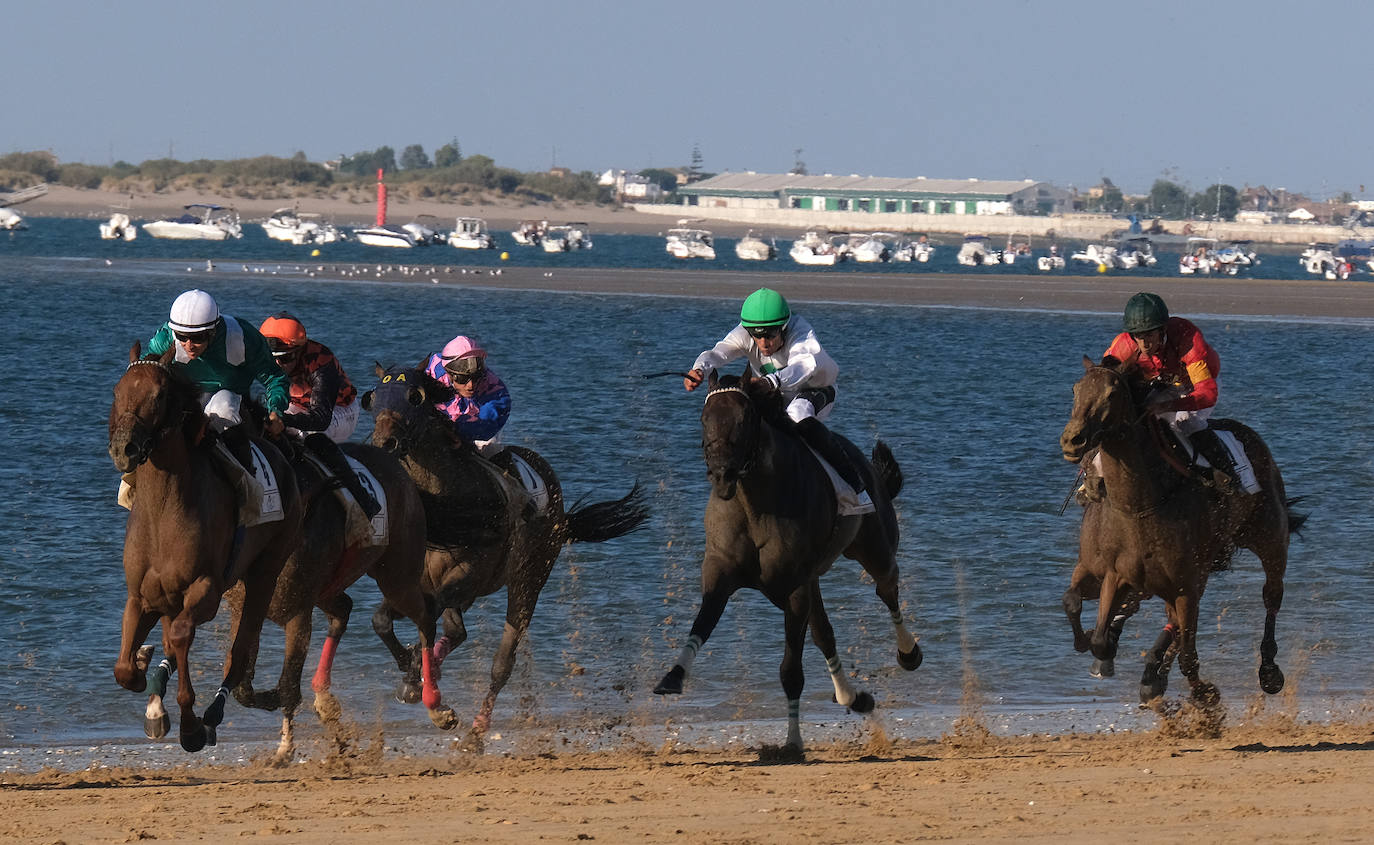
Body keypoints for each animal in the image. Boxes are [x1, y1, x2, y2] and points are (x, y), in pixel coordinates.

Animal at [105, 343, 305, 752]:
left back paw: (212, 714)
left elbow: (182, 637)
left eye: (158, 395)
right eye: (117, 392)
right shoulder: (142, 595)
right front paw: (142, 663)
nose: (123, 449)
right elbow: (124, 668)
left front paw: (191, 727)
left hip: (266, 569)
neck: (163, 510)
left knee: (240, 650)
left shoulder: (206, 589)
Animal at [228, 436, 453, 769]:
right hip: (330, 588)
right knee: (344, 610)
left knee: (424, 616)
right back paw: (326, 698)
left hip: (396, 575)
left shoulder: (298, 614)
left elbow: (288, 683)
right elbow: (243, 687)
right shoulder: (243, 613)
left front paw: (285, 748)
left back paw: (432, 701)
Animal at [359, 359, 648, 752]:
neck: (446, 503)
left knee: (501, 662)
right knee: (456, 630)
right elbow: (382, 620)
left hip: (529, 578)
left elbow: (428, 620)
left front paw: (426, 688)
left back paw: (476, 730)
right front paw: (411, 676)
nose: (383, 443)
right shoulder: (414, 581)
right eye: (373, 398)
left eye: (414, 397)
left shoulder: (466, 575)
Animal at [651, 373, 917, 758]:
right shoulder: (721, 574)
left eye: (745, 419)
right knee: (826, 635)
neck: (754, 505)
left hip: (873, 550)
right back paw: (852, 697)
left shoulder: (794, 589)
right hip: (816, 580)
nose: (721, 473)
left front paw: (793, 742)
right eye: (704, 419)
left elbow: (791, 670)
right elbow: (701, 625)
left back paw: (909, 653)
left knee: (888, 589)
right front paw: (672, 677)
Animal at [1060, 357, 1297, 708]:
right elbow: (1096, 631)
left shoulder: (1186, 585)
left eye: (1112, 394)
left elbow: (1188, 655)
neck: (1141, 505)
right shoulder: (1117, 575)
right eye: (1075, 389)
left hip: (1269, 538)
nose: (1072, 440)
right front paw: (1101, 646)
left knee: (1272, 594)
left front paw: (1204, 695)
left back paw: (1268, 671)